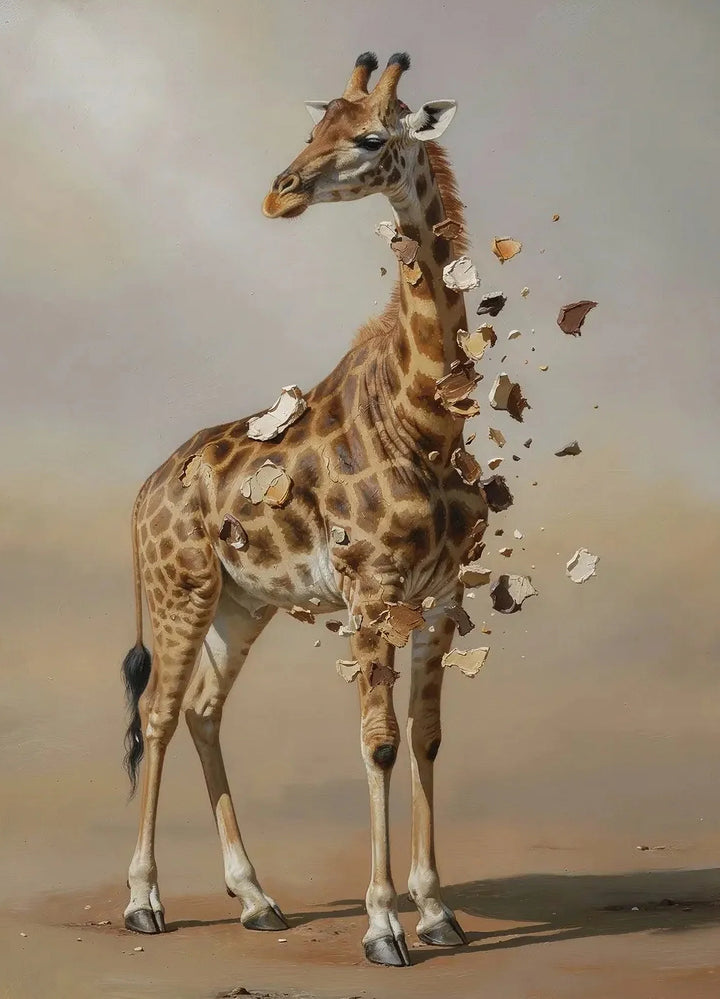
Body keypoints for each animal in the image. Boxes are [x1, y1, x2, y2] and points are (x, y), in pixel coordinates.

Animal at [121, 51, 490, 967]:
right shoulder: (371, 588)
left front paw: (437, 911)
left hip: (241, 602)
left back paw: (257, 899)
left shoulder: (442, 596)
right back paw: (143, 900)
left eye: (369, 136)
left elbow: (426, 737)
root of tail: (145, 487)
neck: (426, 420)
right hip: (180, 591)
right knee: (157, 714)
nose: (279, 192)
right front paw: (384, 925)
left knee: (204, 711)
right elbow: (379, 742)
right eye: (313, 126)